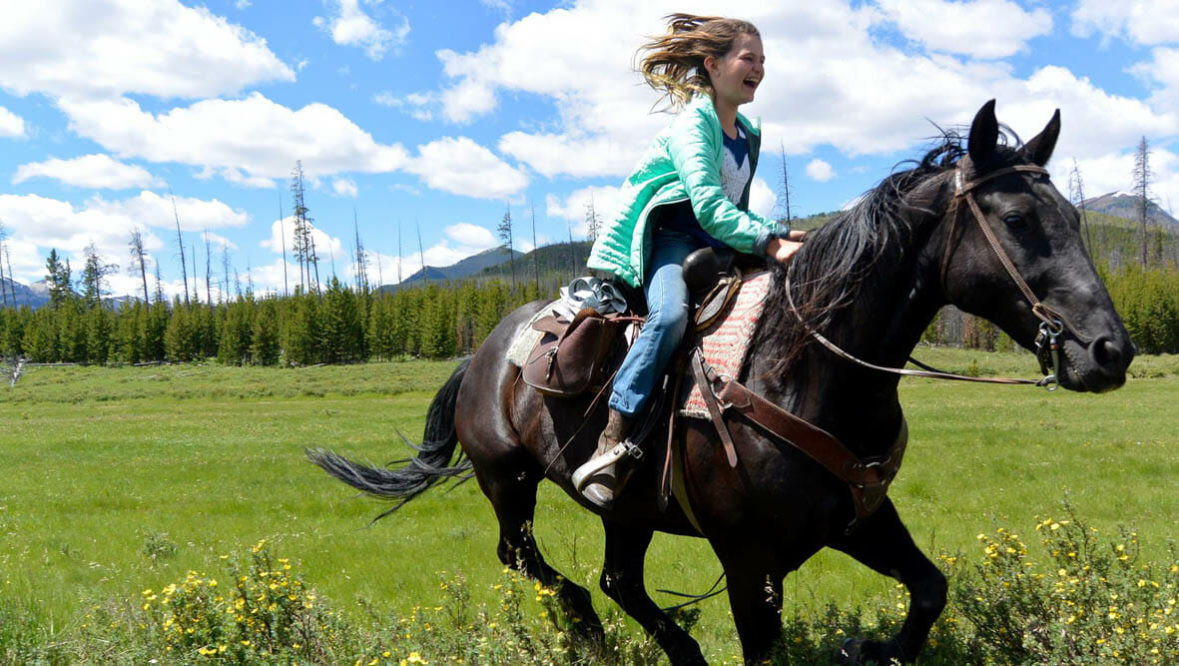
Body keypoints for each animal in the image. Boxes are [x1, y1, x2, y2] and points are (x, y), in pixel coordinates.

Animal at [310, 100, 1133, 664]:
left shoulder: (860, 516)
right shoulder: (747, 560)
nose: (1108, 352)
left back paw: (675, 649)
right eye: (1018, 218)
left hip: (626, 508)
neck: (812, 371)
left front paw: (866, 651)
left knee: (619, 580)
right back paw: (584, 627)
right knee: (530, 562)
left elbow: (929, 591)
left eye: (1075, 218)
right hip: (506, 480)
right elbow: (764, 646)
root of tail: (480, 354)